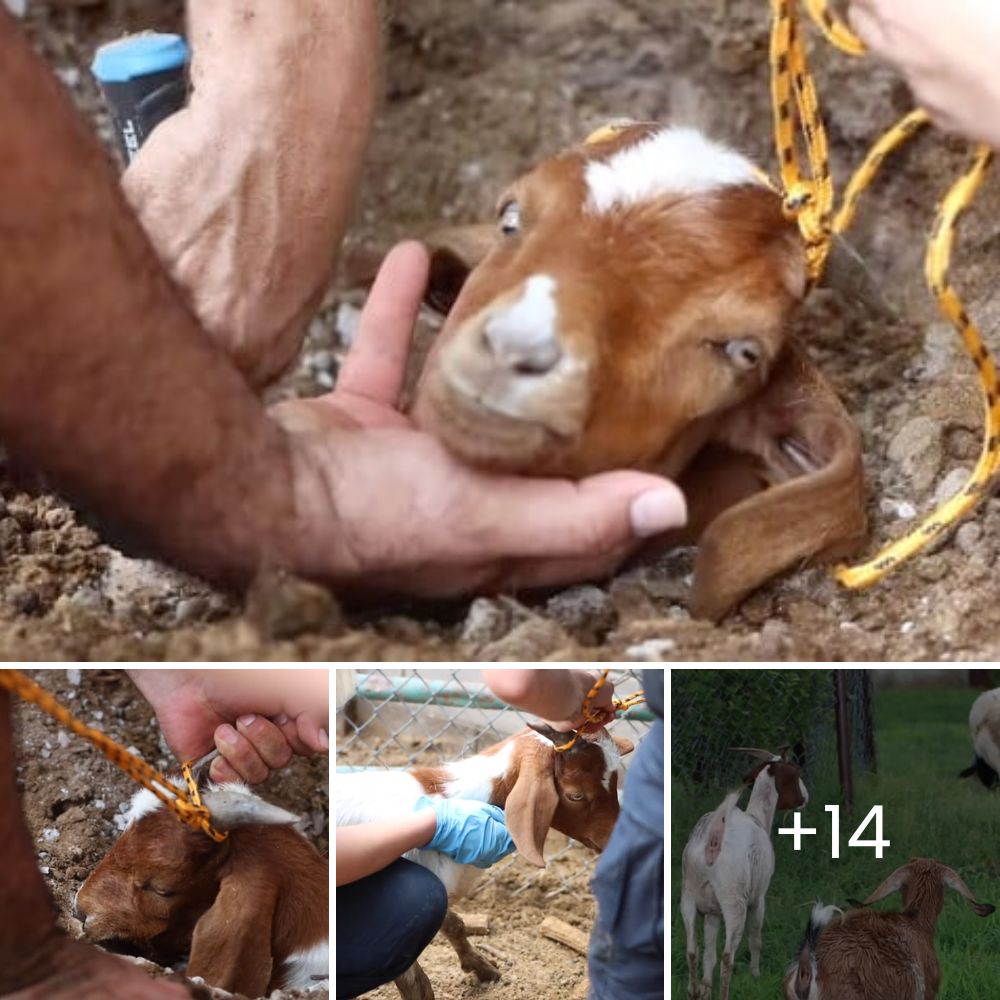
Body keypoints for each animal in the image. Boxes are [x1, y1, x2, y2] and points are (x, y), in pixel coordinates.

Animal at [336, 728, 632, 1000]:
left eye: (617, 781)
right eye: (576, 795)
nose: (616, 836)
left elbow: (454, 924)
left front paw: (483, 968)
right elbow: (414, 982)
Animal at [676, 748, 808, 996]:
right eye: (796, 773)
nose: (805, 797)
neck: (758, 818)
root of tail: (713, 841)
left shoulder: (712, 911)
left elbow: (709, 953)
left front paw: (706, 988)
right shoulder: (758, 898)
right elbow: (756, 938)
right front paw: (756, 976)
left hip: (688, 896)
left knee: (692, 950)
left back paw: (693, 991)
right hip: (734, 901)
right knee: (728, 956)